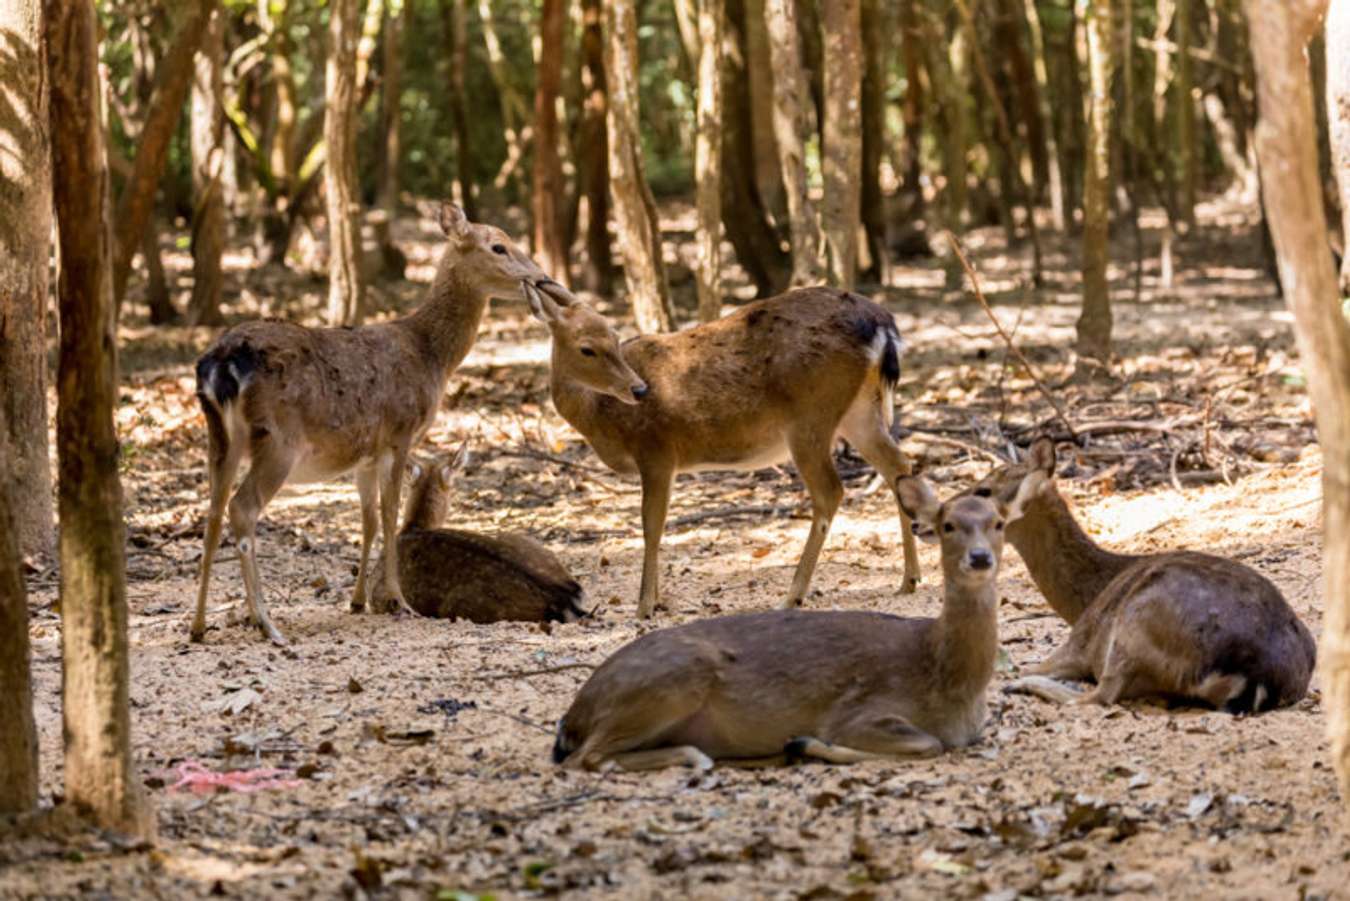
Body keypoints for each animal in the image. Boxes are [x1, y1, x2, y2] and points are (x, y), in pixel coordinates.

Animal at [521, 283, 923, 621]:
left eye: (614, 339)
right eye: (587, 348)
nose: (639, 389)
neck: (600, 418)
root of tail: (882, 327)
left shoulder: (657, 449)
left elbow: (652, 525)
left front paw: (645, 606)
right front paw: (656, 601)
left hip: (811, 415)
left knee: (831, 491)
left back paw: (791, 595)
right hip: (859, 411)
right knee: (900, 466)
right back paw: (909, 579)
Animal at [548, 472, 1031, 778]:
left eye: (998, 523)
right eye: (948, 525)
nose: (980, 557)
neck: (948, 679)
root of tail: (575, 713)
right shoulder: (858, 711)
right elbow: (927, 744)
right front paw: (809, 744)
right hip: (672, 680)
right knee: (584, 758)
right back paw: (699, 756)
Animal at [977, 437, 1312, 713]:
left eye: (983, 490)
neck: (1086, 599)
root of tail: (1256, 677)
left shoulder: (1081, 642)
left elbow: (1029, 666)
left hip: (1134, 625)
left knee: (1098, 696)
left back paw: (1021, 686)